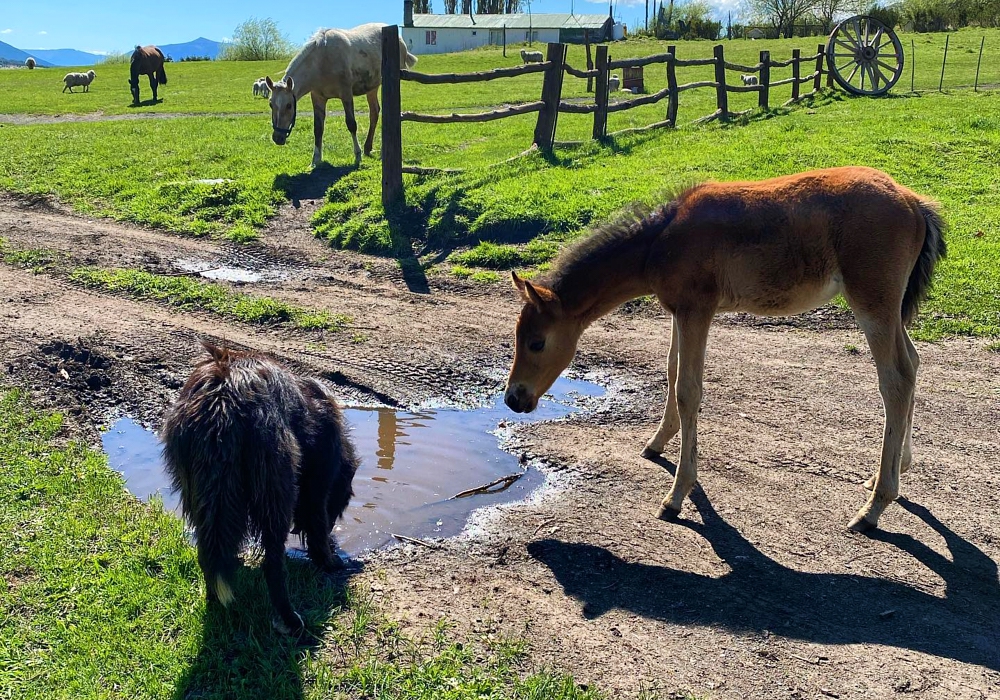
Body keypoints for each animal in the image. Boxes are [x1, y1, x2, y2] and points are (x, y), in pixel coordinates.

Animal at [158, 344, 358, 636]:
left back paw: (214, 602)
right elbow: (317, 525)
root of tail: (222, 397)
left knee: (207, 554)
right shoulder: (318, 485)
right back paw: (291, 621)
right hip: (275, 488)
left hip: (197, 492)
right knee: (272, 563)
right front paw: (330, 562)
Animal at [264, 23, 416, 169]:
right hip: (372, 88)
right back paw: (368, 147)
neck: (322, 60)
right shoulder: (318, 98)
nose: (277, 137)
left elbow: (351, 124)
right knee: (374, 112)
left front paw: (357, 155)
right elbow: (318, 129)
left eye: (289, 105)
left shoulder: (346, 94)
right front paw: (315, 160)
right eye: (271, 104)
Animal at [504, 167, 948, 532]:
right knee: (913, 363)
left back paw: (874, 507)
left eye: (537, 342)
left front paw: (676, 496)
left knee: (896, 379)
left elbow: (688, 389)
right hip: (890, 308)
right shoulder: (679, 311)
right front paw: (657, 443)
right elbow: (671, 372)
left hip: (872, 302)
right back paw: (894, 470)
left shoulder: (697, 309)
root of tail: (914, 202)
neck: (660, 242)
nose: (513, 399)